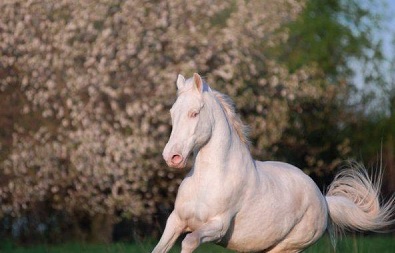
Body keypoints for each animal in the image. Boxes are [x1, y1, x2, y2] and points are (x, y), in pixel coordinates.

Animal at [152, 73, 395, 253]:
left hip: (287, 248)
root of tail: (323, 200)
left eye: (194, 113)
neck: (209, 180)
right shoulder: (175, 221)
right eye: (172, 113)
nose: (171, 157)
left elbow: (189, 241)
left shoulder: (217, 226)